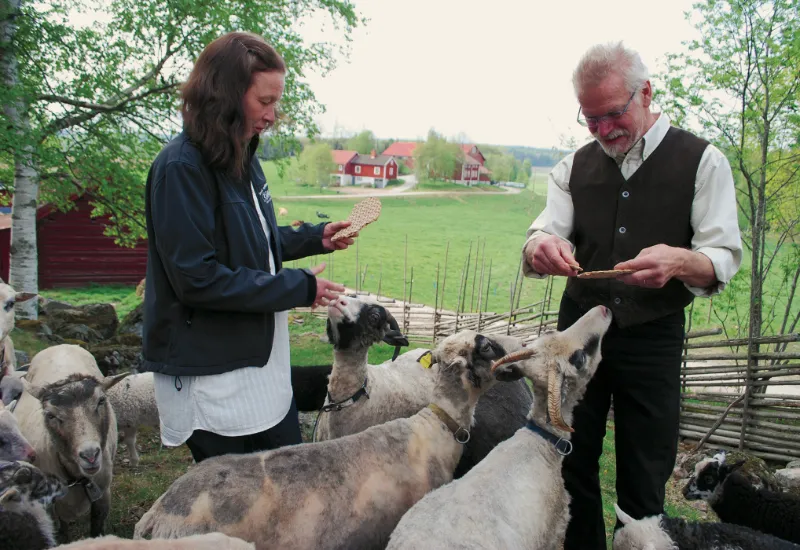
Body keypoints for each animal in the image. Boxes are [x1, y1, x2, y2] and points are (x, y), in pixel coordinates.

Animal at [13, 348, 129, 540]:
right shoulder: (49, 507)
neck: (77, 477)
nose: (90, 455)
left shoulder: (103, 495)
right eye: (50, 415)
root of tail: (60, 345)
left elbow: (96, 530)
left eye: (101, 401)